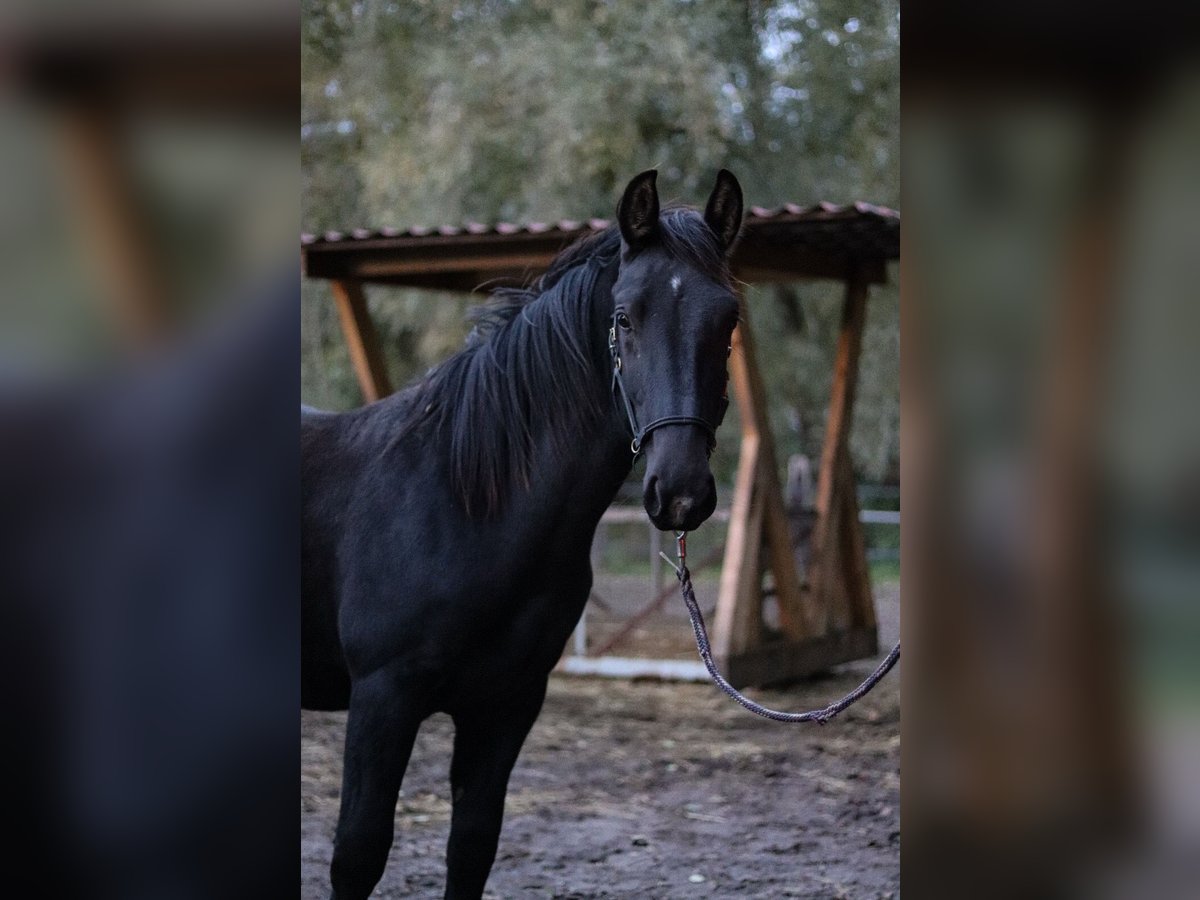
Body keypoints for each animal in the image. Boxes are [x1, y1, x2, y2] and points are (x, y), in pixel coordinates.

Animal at [301, 169, 744, 899]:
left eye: (728, 320)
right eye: (625, 318)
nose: (680, 491)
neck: (466, 504)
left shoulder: (507, 704)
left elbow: (472, 847)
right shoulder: (382, 699)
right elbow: (358, 853)